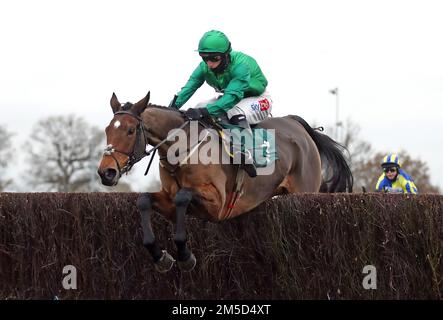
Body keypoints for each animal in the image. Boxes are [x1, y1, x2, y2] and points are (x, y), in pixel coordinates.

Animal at [98, 92, 354, 272]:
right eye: (107, 129)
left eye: (130, 130)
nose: (106, 172)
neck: (182, 148)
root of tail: (298, 125)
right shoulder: (169, 202)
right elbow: (144, 200)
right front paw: (160, 256)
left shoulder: (217, 205)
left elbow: (183, 197)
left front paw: (185, 256)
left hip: (305, 191)